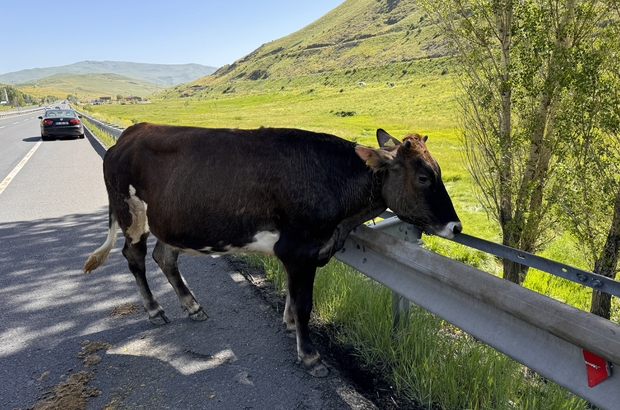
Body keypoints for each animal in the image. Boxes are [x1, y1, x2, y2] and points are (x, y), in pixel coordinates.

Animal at [83, 124, 460, 378]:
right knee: (135, 258)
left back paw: (192, 306)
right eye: (424, 177)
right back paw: (154, 310)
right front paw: (310, 356)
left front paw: (290, 325)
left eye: (440, 172)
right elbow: (306, 303)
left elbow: (295, 297)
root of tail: (132, 132)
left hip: (173, 221)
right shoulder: (299, 248)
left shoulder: (307, 251)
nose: (456, 227)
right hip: (131, 213)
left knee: (165, 257)